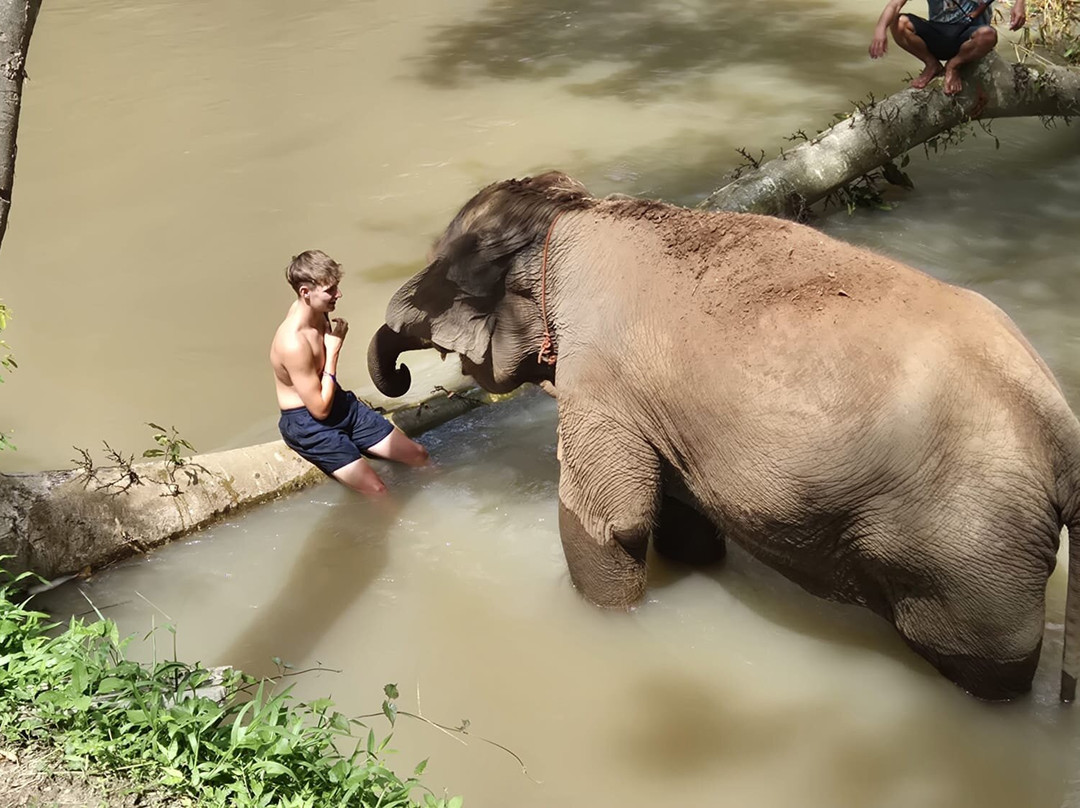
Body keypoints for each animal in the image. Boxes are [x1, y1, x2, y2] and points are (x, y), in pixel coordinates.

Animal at [368, 171, 1080, 702]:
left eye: (438, 264)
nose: (401, 381)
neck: (574, 214)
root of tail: (1062, 434)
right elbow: (682, 517)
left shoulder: (600, 376)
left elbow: (612, 519)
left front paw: (601, 622)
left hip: (968, 556)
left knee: (977, 662)